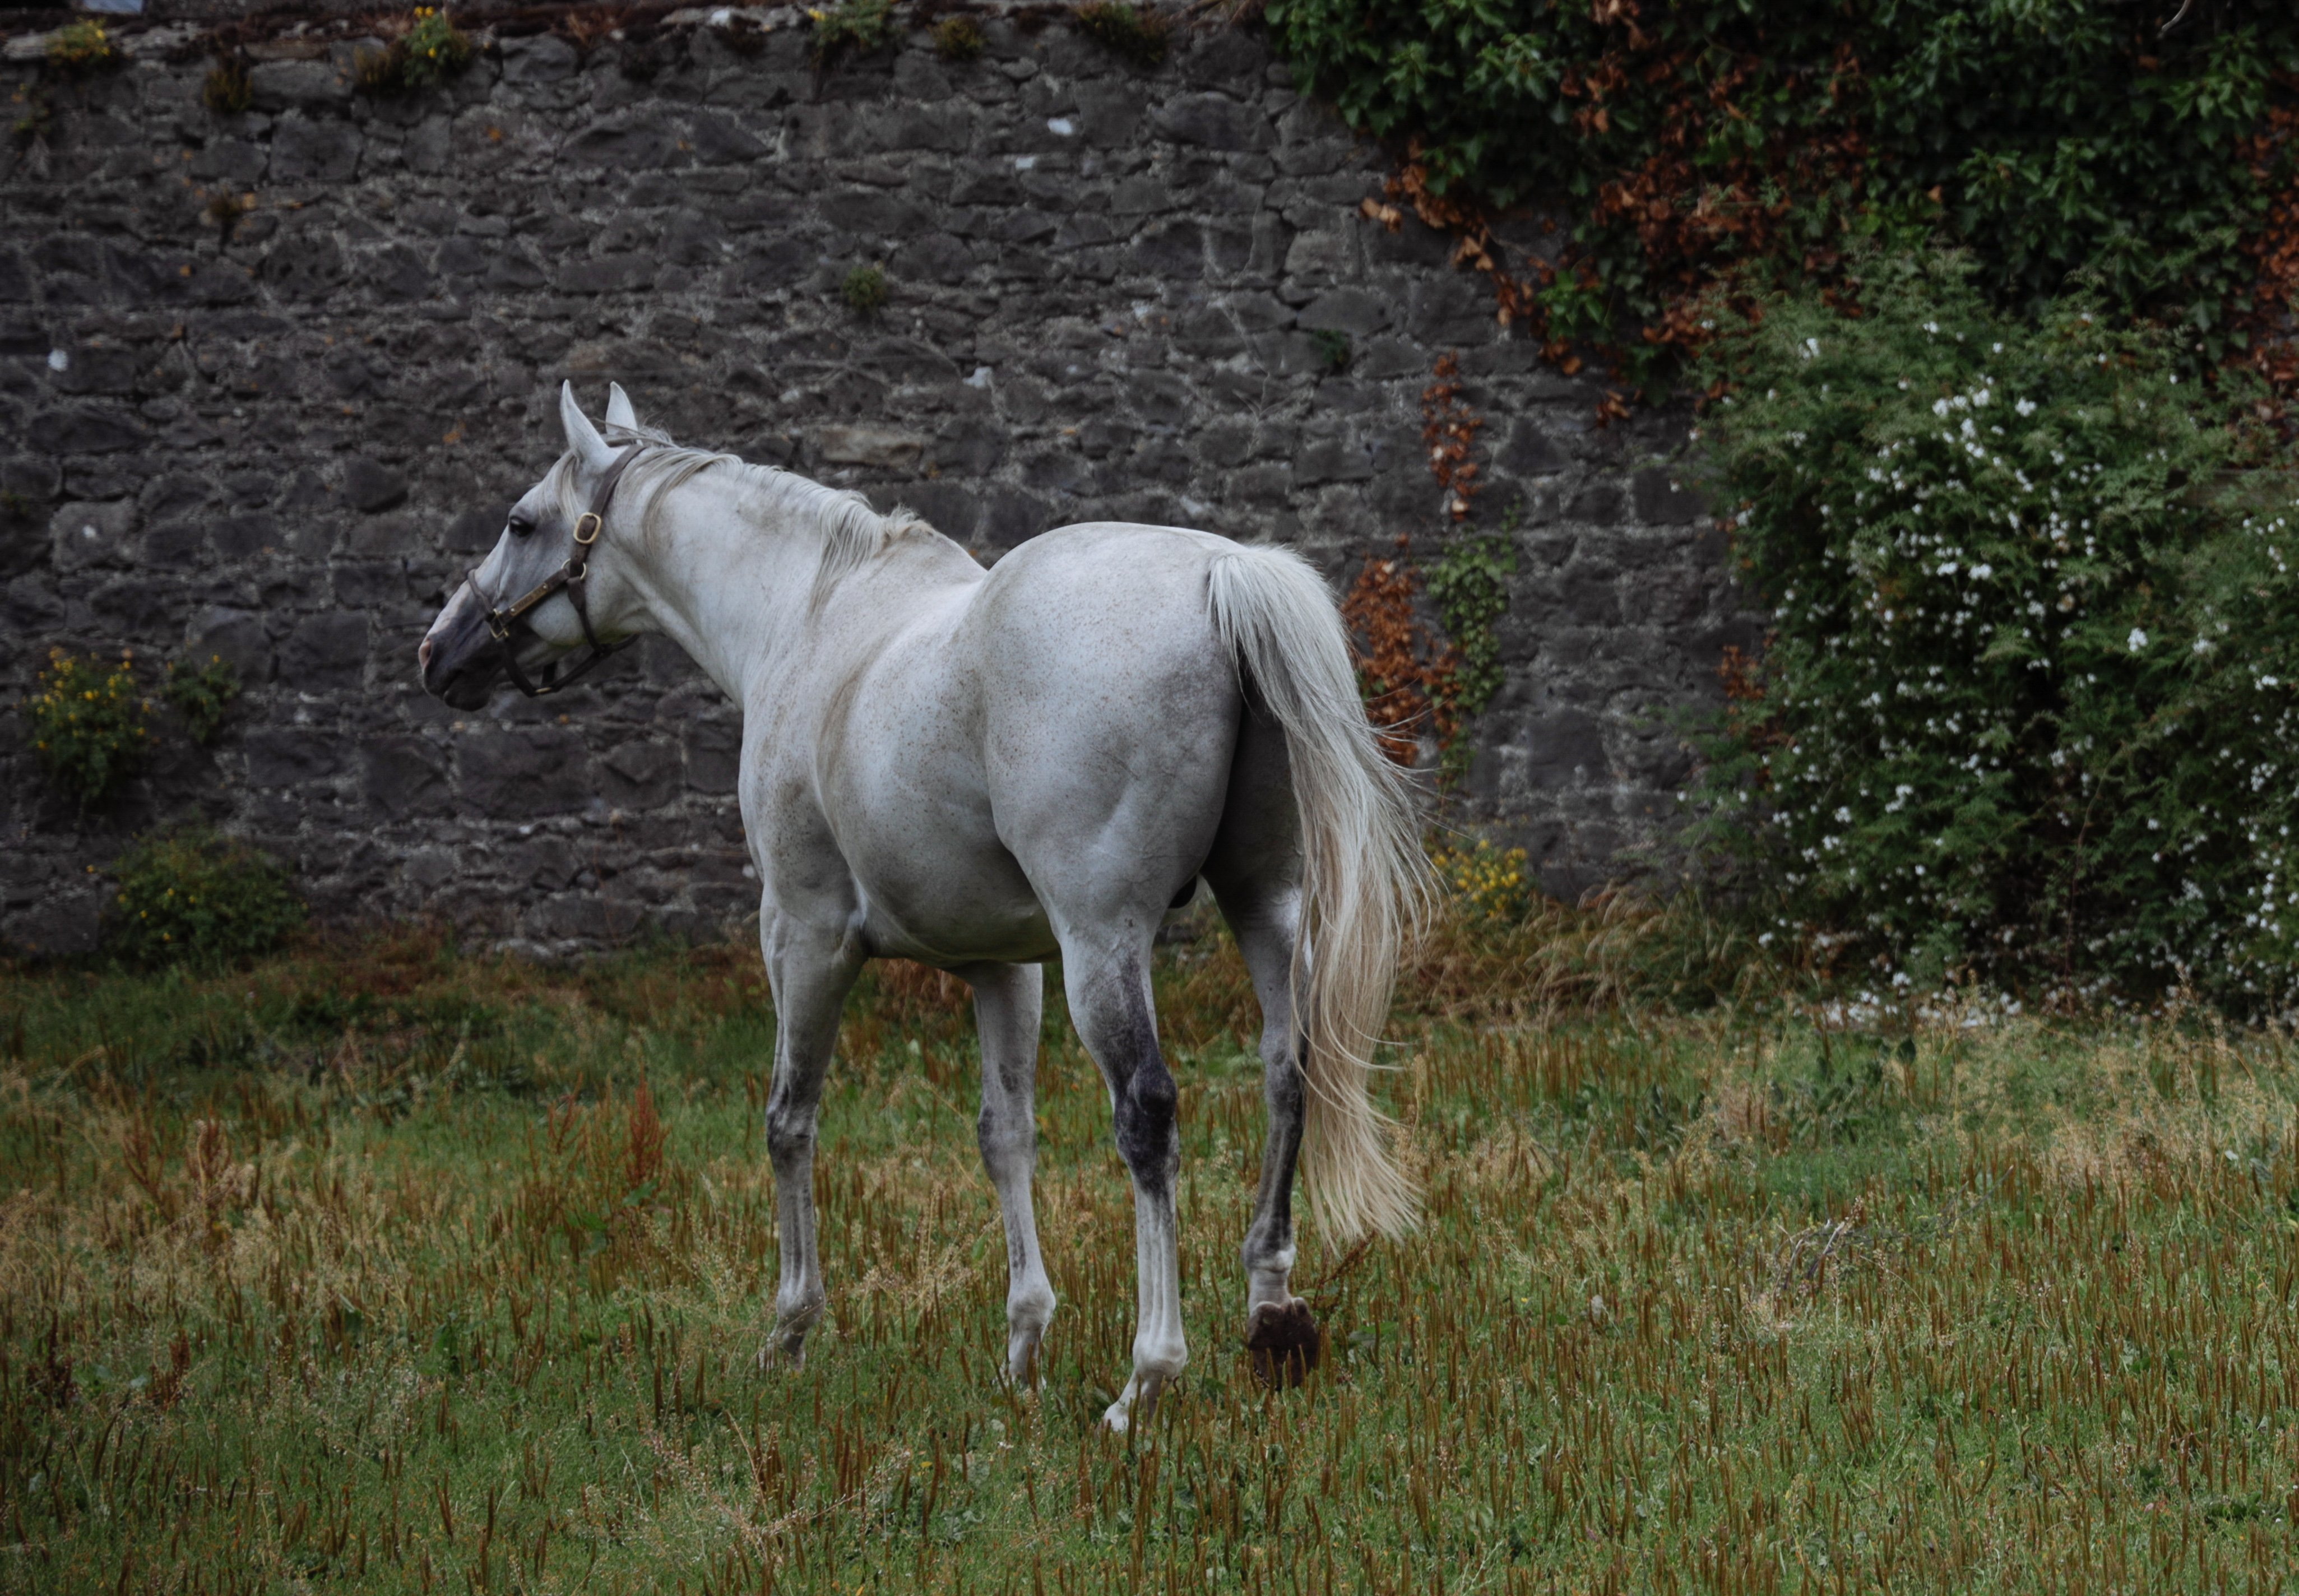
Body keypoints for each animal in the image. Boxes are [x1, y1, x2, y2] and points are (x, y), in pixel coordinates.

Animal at [414, 388, 1416, 1435]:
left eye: (519, 522)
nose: (438, 653)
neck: (810, 616)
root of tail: (1221, 575)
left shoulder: (803, 935)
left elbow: (789, 1119)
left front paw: (789, 1331)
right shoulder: (1002, 966)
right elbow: (1004, 1134)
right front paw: (1022, 1349)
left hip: (1104, 943)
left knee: (1147, 1111)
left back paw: (1146, 1377)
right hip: (1264, 906)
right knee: (1288, 1072)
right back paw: (1271, 1316)